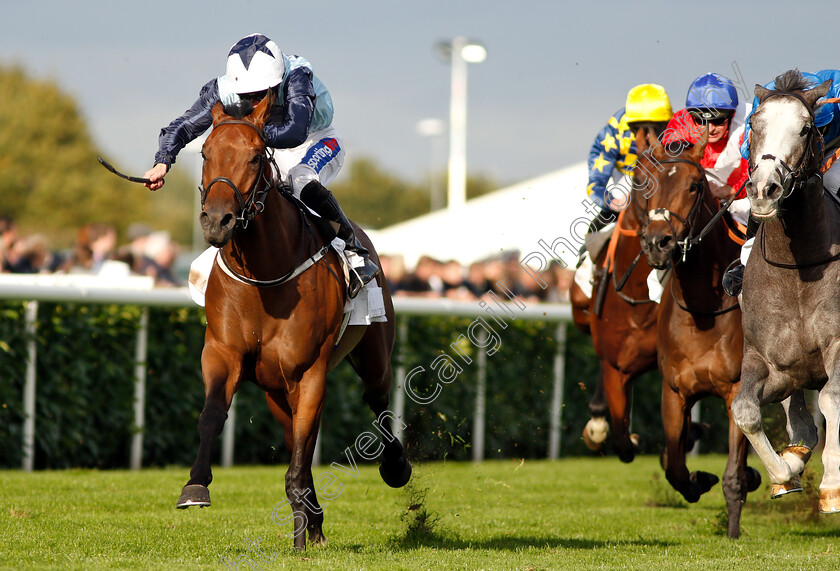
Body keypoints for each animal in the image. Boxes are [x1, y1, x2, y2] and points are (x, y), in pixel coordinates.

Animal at [178, 89, 414, 548]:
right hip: (276, 390)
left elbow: (300, 460)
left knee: (377, 401)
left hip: (372, 354)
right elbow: (212, 415)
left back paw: (395, 466)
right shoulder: (222, 353)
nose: (217, 221)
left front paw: (303, 533)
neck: (263, 276)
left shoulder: (308, 371)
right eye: (205, 152)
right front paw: (195, 485)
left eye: (255, 157)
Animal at [636, 136, 760, 540]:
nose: (658, 243)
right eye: (645, 187)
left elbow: (734, 475)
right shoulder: (674, 391)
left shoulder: (737, 389)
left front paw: (733, 528)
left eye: (693, 186)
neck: (703, 313)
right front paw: (697, 480)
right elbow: (674, 466)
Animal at [728, 71, 840, 512]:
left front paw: (831, 485)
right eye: (755, 124)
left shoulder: (838, 345)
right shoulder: (767, 361)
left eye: (806, 128)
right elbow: (744, 409)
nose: (764, 190)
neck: (798, 271)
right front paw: (784, 473)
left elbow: (831, 400)